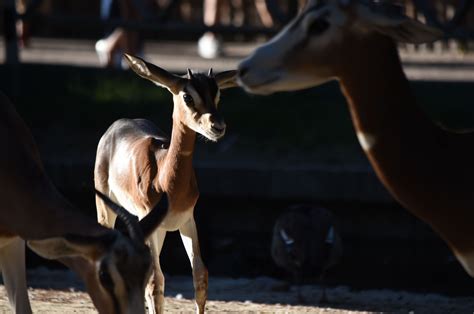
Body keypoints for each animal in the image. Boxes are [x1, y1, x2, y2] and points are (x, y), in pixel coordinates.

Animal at [95, 52, 237, 312]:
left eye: (217, 94)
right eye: (187, 96)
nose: (218, 126)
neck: (166, 179)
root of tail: (118, 124)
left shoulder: (187, 219)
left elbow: (200, 275)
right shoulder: (148, 218)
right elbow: (155, 282)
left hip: (157, 230)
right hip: (107, 210)